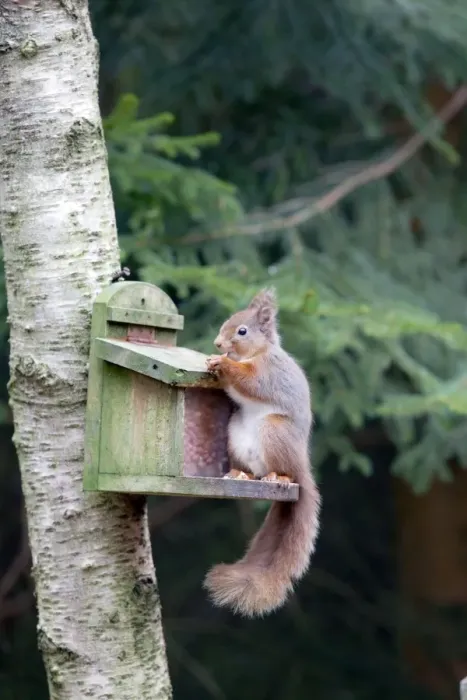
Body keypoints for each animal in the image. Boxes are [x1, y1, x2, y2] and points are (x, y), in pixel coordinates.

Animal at [203, 288, 321, 617]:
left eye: (242, 331)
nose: (217, 344)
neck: (255, 353)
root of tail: (301, 465)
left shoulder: (268, 373)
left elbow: (251, 382)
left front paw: (222, 363)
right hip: (235, 434)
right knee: (249, 470)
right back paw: (237, 473)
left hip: (274, 432)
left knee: (284, 471)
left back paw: (277, 478)